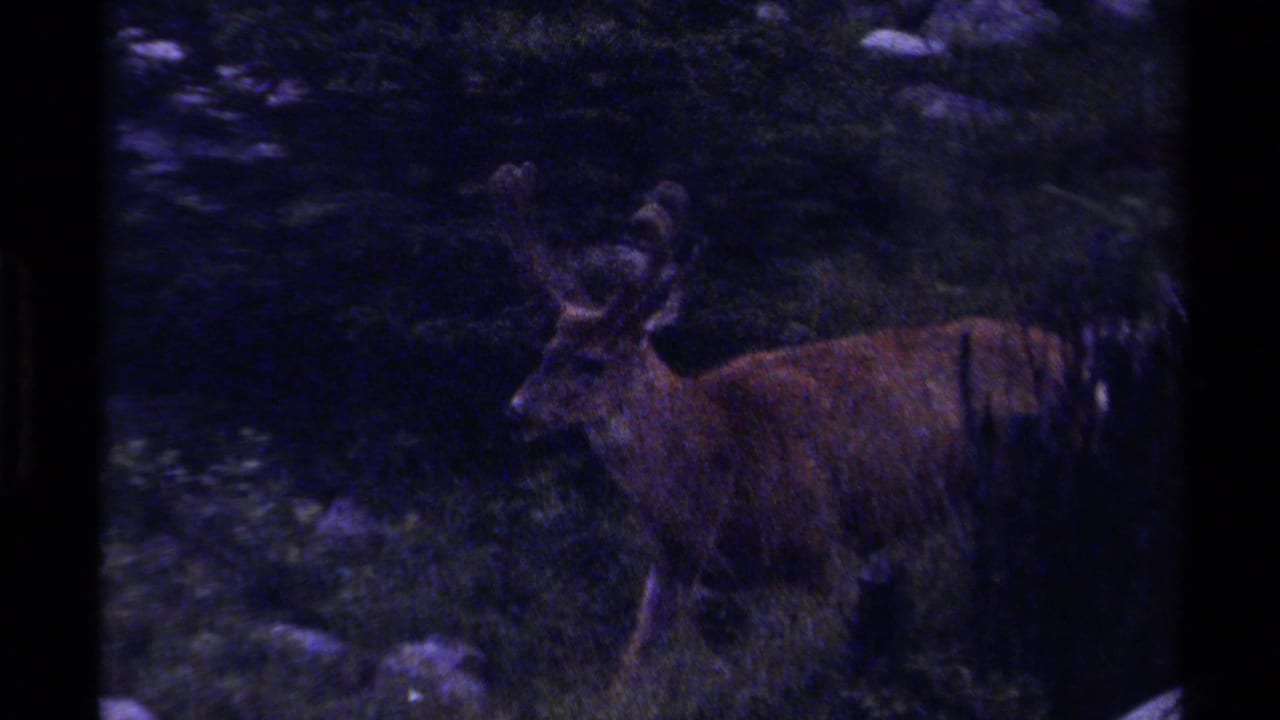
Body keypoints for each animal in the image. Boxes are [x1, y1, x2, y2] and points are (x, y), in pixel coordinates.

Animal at [487, 161, 1070, 684]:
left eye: (593, 363)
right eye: (547, 348)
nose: (517, 408)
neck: (712, 460)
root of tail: (1068, 349)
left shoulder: (822, 542)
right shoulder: (671, 568)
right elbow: (629, 669)